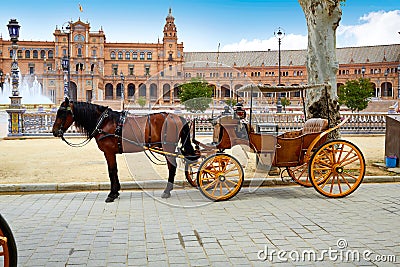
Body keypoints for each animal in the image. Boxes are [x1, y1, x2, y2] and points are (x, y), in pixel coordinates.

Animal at [51, 99, 198, 203]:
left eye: (62, 113)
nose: (54, 131)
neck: (104, 122)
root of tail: (178, 117)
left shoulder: (109, 152)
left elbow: (111, 171)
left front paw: (112, 194)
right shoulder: (111, 153)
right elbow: (114, 170)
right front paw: (116, 192)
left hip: (168, 147)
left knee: (171, 167)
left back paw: (167, 191)